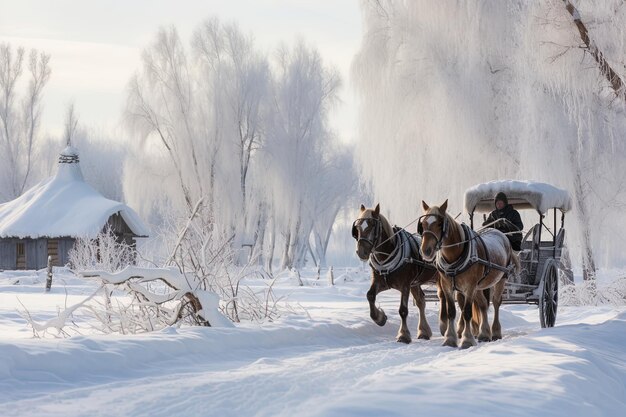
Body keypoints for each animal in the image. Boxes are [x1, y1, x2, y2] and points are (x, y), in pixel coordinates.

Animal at [352, 203, 434, 342]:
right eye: (357, 227)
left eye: (372, 225)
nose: (360, 252)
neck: (387, 254)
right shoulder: (382, 282)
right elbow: (370, 295)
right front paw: (380, 318)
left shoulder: (405, 285)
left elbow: (403, 310)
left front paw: (403, 335)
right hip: (415, 283)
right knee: (421, 302)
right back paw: (423, 332)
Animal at [420, 198, 516, 348]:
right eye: (423, 224)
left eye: (440, 224)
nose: (426, 251)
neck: (454, 258)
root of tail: (500, 232)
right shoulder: (448, 286)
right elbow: (451, 312)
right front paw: (450, 339)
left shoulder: (469, 287)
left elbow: (467, 312)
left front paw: (467, 340)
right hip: (479, 286)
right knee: (483, 304)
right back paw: (484, 333)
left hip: (501, 279)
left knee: (495, 303)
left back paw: (495, 332)